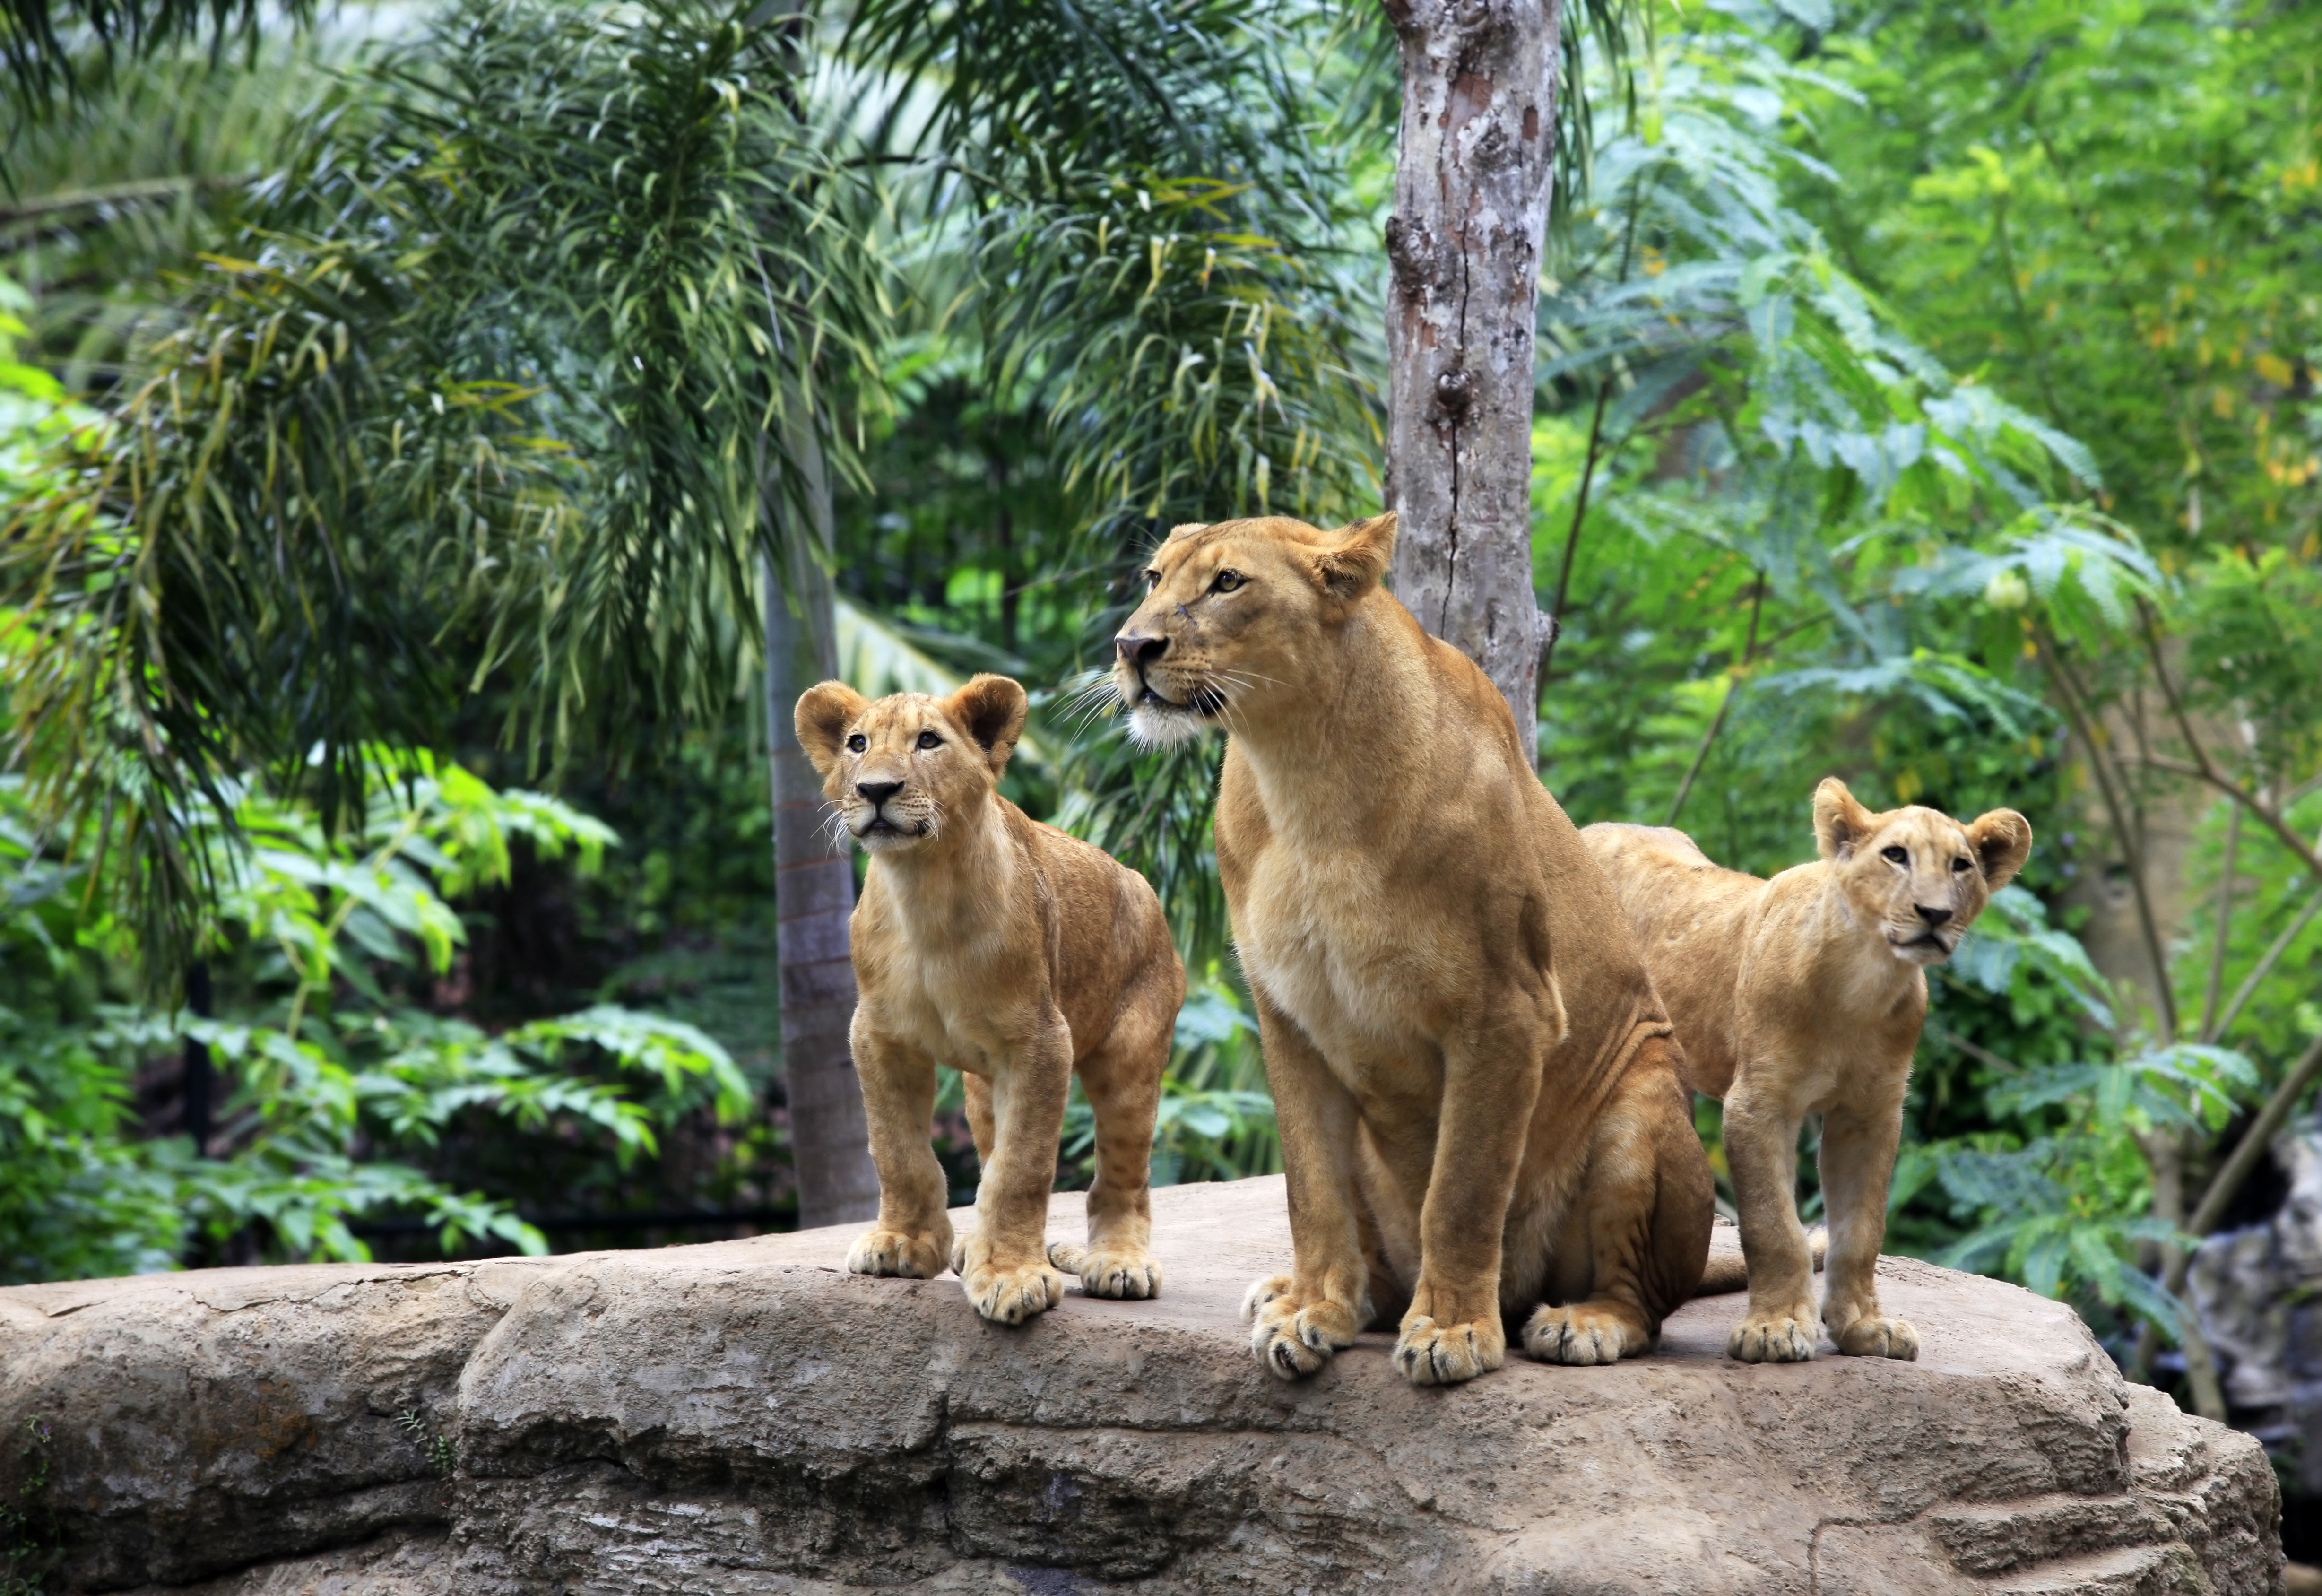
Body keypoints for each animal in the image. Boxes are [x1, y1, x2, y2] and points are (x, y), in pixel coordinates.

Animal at [1114, 515, 1718, 1384]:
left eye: (1228, 583)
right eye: (1154, 577)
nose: (1131, 647)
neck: (1301, 772)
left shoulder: (1506, 1013)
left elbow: (1461, 1191)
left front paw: (1453, 1332)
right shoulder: (1288, 1016)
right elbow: (1310, 1188)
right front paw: (1311, 1314)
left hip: (1642, 1103)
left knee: (1642, 1299)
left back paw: (1582, 1322)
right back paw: (1311, 1296)